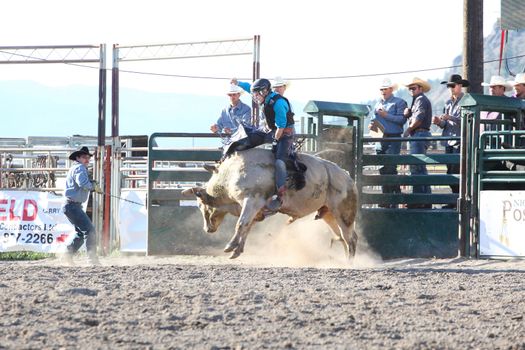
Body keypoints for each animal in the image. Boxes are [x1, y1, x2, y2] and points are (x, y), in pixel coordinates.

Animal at [182, 148, 358, 260]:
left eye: (201, 205)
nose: (207, 229)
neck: (230, 175)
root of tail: (348, 177)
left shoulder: (251, 200)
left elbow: (241, 224)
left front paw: (230, 246)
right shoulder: (256, 209)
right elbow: (247, 227)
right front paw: (237, 251)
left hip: (344, 213)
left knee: (350, 238)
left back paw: (349, 263)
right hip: (329, 214)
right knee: (343, 237)